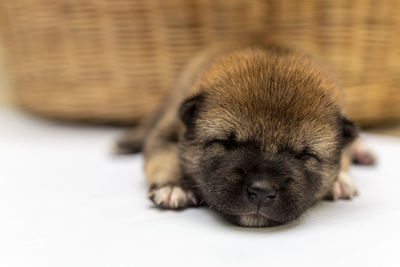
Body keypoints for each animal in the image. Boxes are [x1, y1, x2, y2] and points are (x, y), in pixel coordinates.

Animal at [115, 36, 376, 227]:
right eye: (225, 142)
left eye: (306, 156)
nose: (261, 192)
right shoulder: (168, 130)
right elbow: (164, 156)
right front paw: (173, 186)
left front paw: (340, 179)